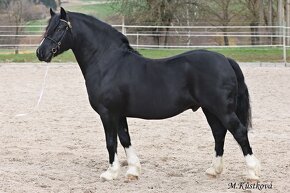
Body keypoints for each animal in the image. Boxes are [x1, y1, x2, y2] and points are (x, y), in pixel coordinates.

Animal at [36, 7, 260, 182]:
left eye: (60, 28)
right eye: (48, 27)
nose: (40, 52)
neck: (108, 63)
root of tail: (225, 59)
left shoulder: (107, 113)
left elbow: (111, 142)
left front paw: (110, 173)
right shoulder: (119, 114)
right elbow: (125, 139)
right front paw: (133, 171)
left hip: (222, 110)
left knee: (239, 132)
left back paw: (252, 173)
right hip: (210, 110)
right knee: (219, 134)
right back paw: (214, 170)